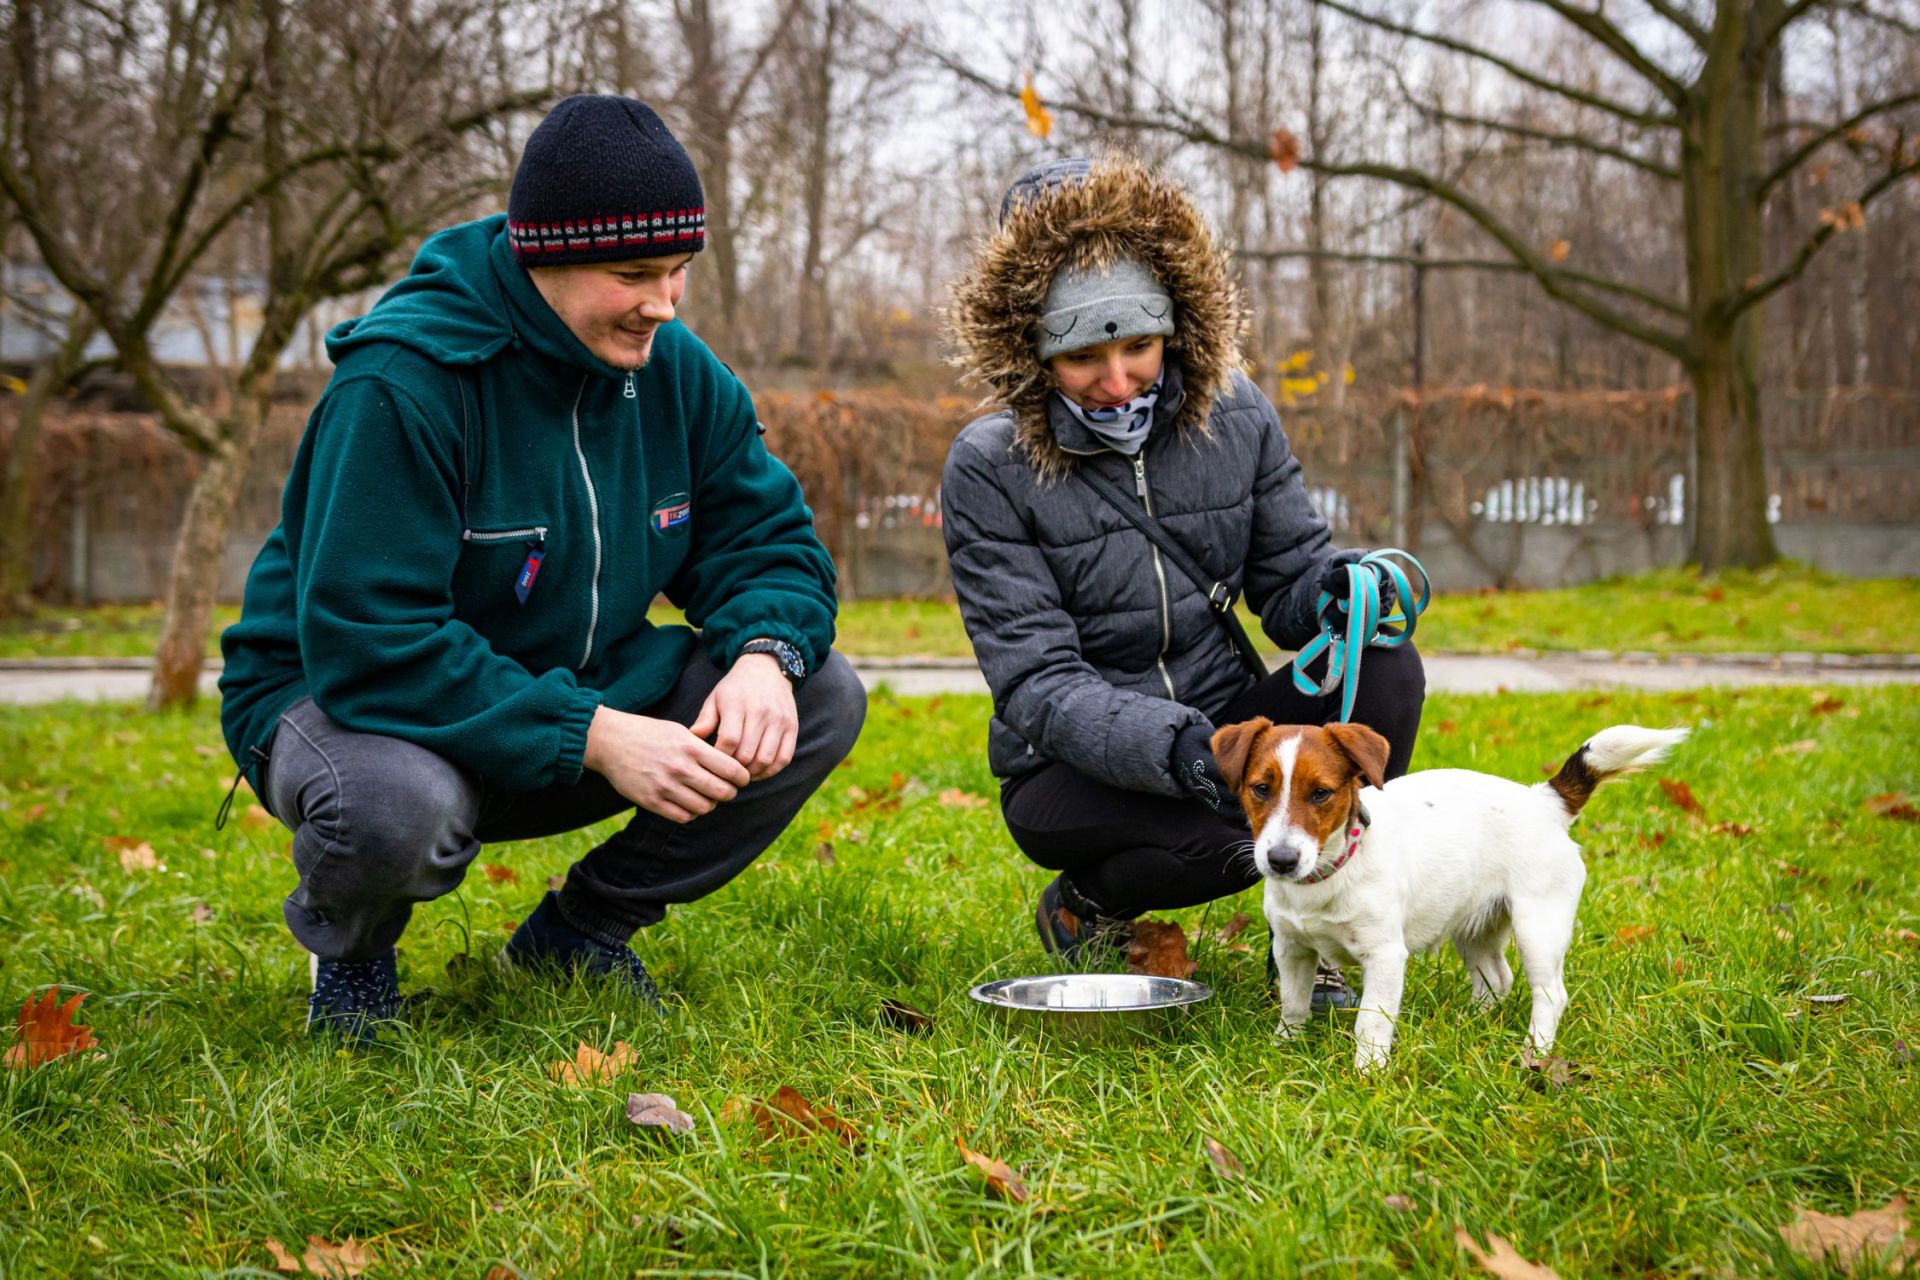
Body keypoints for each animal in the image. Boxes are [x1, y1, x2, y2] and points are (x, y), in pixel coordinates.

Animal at [1213, 721, 1681, 1074]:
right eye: (1261, 789)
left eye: (1321, 793)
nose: (1281, 860)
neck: (1329, 874)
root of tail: (1544, 800)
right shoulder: (1291, 948)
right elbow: (1293, 1004)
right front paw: (1284, 1047)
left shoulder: (1385, 956)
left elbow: (1371, 1022)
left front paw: (1368, 1073)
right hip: (1478, 925)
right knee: (1497, 978)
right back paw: (1471, 1023)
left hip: (1539, 926)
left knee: (1550, 994)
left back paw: (1534, 1053)